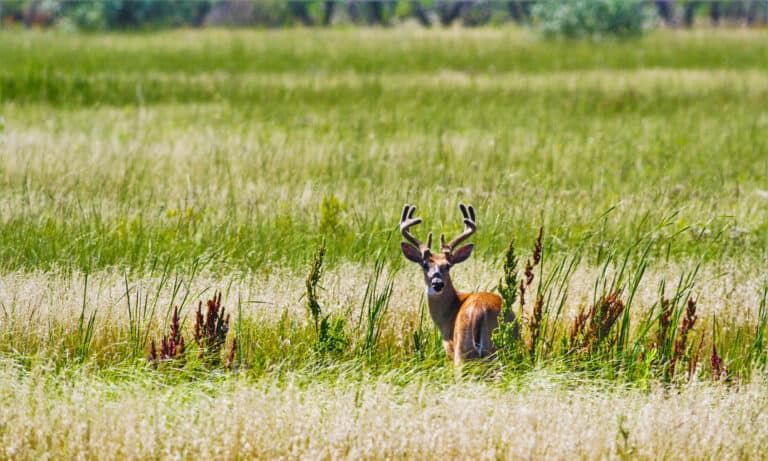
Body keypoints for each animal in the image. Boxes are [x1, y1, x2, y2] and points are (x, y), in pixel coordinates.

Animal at [396, 201, 516, 362]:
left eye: (447, 265)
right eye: (425, 265)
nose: (437, 283)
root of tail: (479, 311)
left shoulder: (450, 349)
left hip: (463, 350)